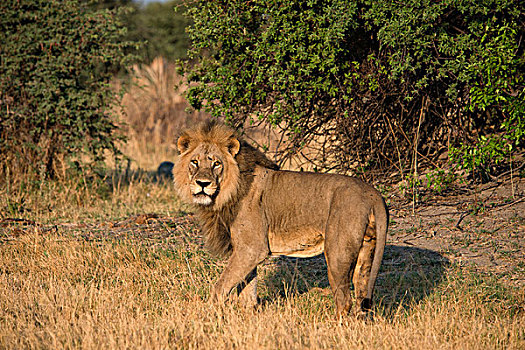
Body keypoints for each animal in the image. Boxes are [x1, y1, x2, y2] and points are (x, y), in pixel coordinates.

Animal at [174, 120, 386, 318]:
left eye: (216, 163)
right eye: (194, 162)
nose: (202, 183)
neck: (228, 191)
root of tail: (373, 194)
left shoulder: (252, 248)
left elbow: (221, 286)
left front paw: (209, 315)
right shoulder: (247, 251)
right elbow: (248, 289)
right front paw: (249, 317)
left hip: (337, 253)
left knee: (344, 300)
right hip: (366, 251)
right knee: (360, 297)